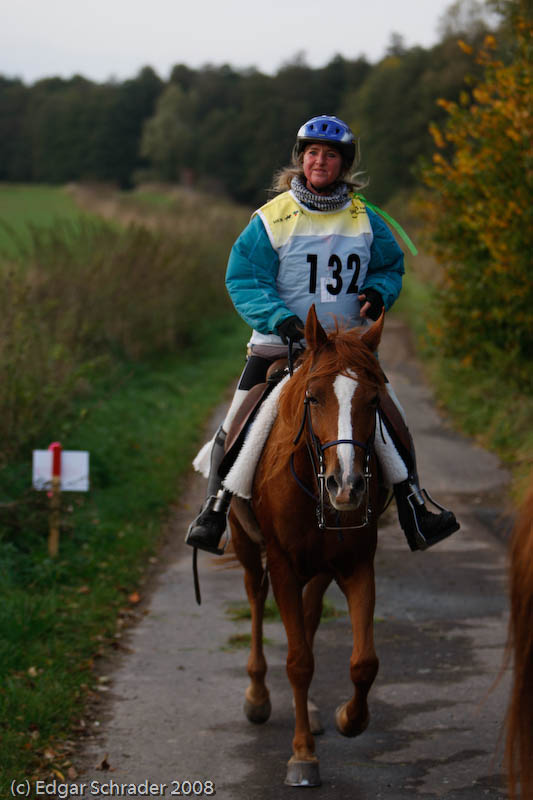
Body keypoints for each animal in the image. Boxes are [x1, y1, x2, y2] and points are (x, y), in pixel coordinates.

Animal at [229, 306, 386, 788]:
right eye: (313, 398)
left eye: (373, 401)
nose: (346, 486)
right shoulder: (281, 565)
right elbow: (298, 662)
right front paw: (302, 756)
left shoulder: (357, 564)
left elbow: (364, 662)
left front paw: (349, 719)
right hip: (248, 549)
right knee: (255, 598)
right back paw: (257, 695)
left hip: (318, 570)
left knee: (311, 617)